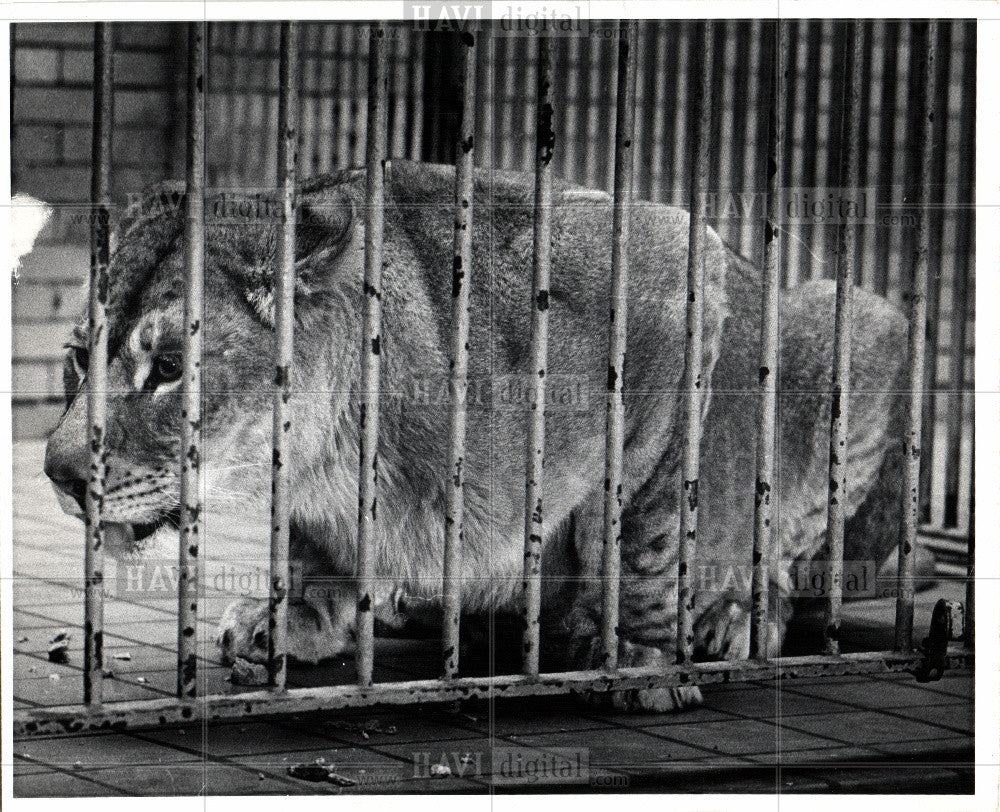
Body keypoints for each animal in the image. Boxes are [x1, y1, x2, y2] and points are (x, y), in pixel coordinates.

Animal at [43, 160, 912, 712]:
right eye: (80, 355)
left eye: (169, 368)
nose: (58, 474)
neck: (344, 440)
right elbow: (314, 543)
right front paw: (295, 619)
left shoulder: (670, 275)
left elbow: (647, 529)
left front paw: (645, 661)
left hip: (862, 320)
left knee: (787, 550)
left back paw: (726, 615)